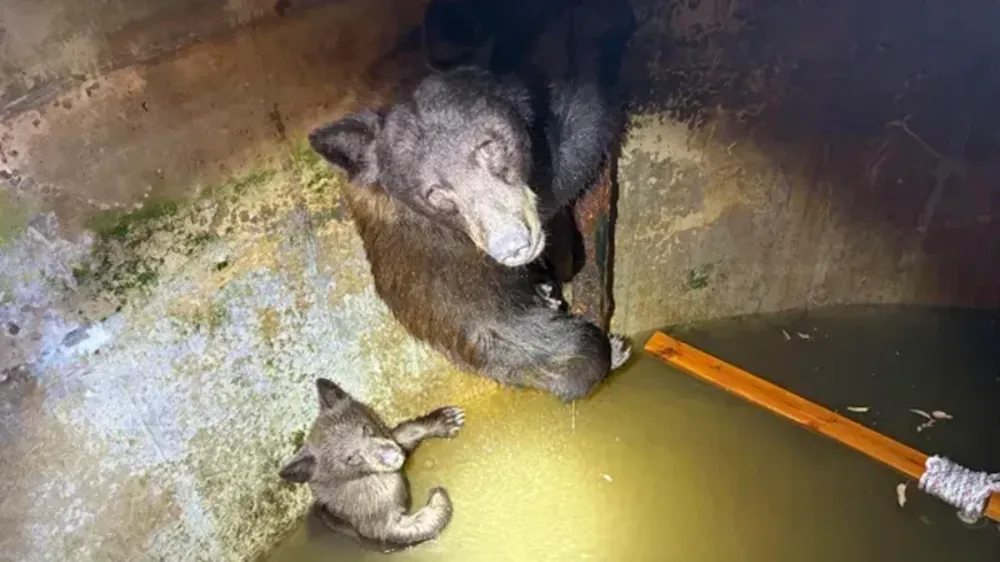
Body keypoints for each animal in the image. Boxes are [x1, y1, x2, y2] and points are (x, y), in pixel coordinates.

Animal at [279, 378, 465, 551]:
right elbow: (405, 530)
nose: (392, 456)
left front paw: (447, 419)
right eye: (350, 457)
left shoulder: (389, 437)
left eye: (365, 428)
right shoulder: (372, 517)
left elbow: (406, 432)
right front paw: (438, 497)